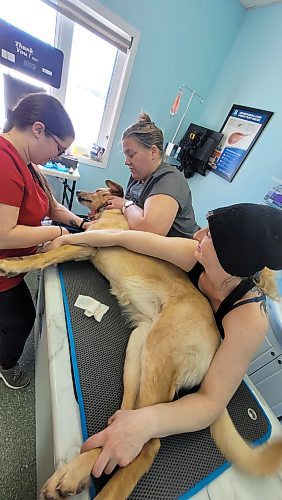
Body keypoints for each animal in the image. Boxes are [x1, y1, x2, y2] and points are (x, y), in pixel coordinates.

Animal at [0, 181, 282, 500]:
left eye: (98, 190)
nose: (82, 193)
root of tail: (218, 342)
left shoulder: (87, 244)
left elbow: (51, 251)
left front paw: (13, 263)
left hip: (158, 356)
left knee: (147, 443)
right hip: (138, 351)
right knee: (126, 425)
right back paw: (77, 471)